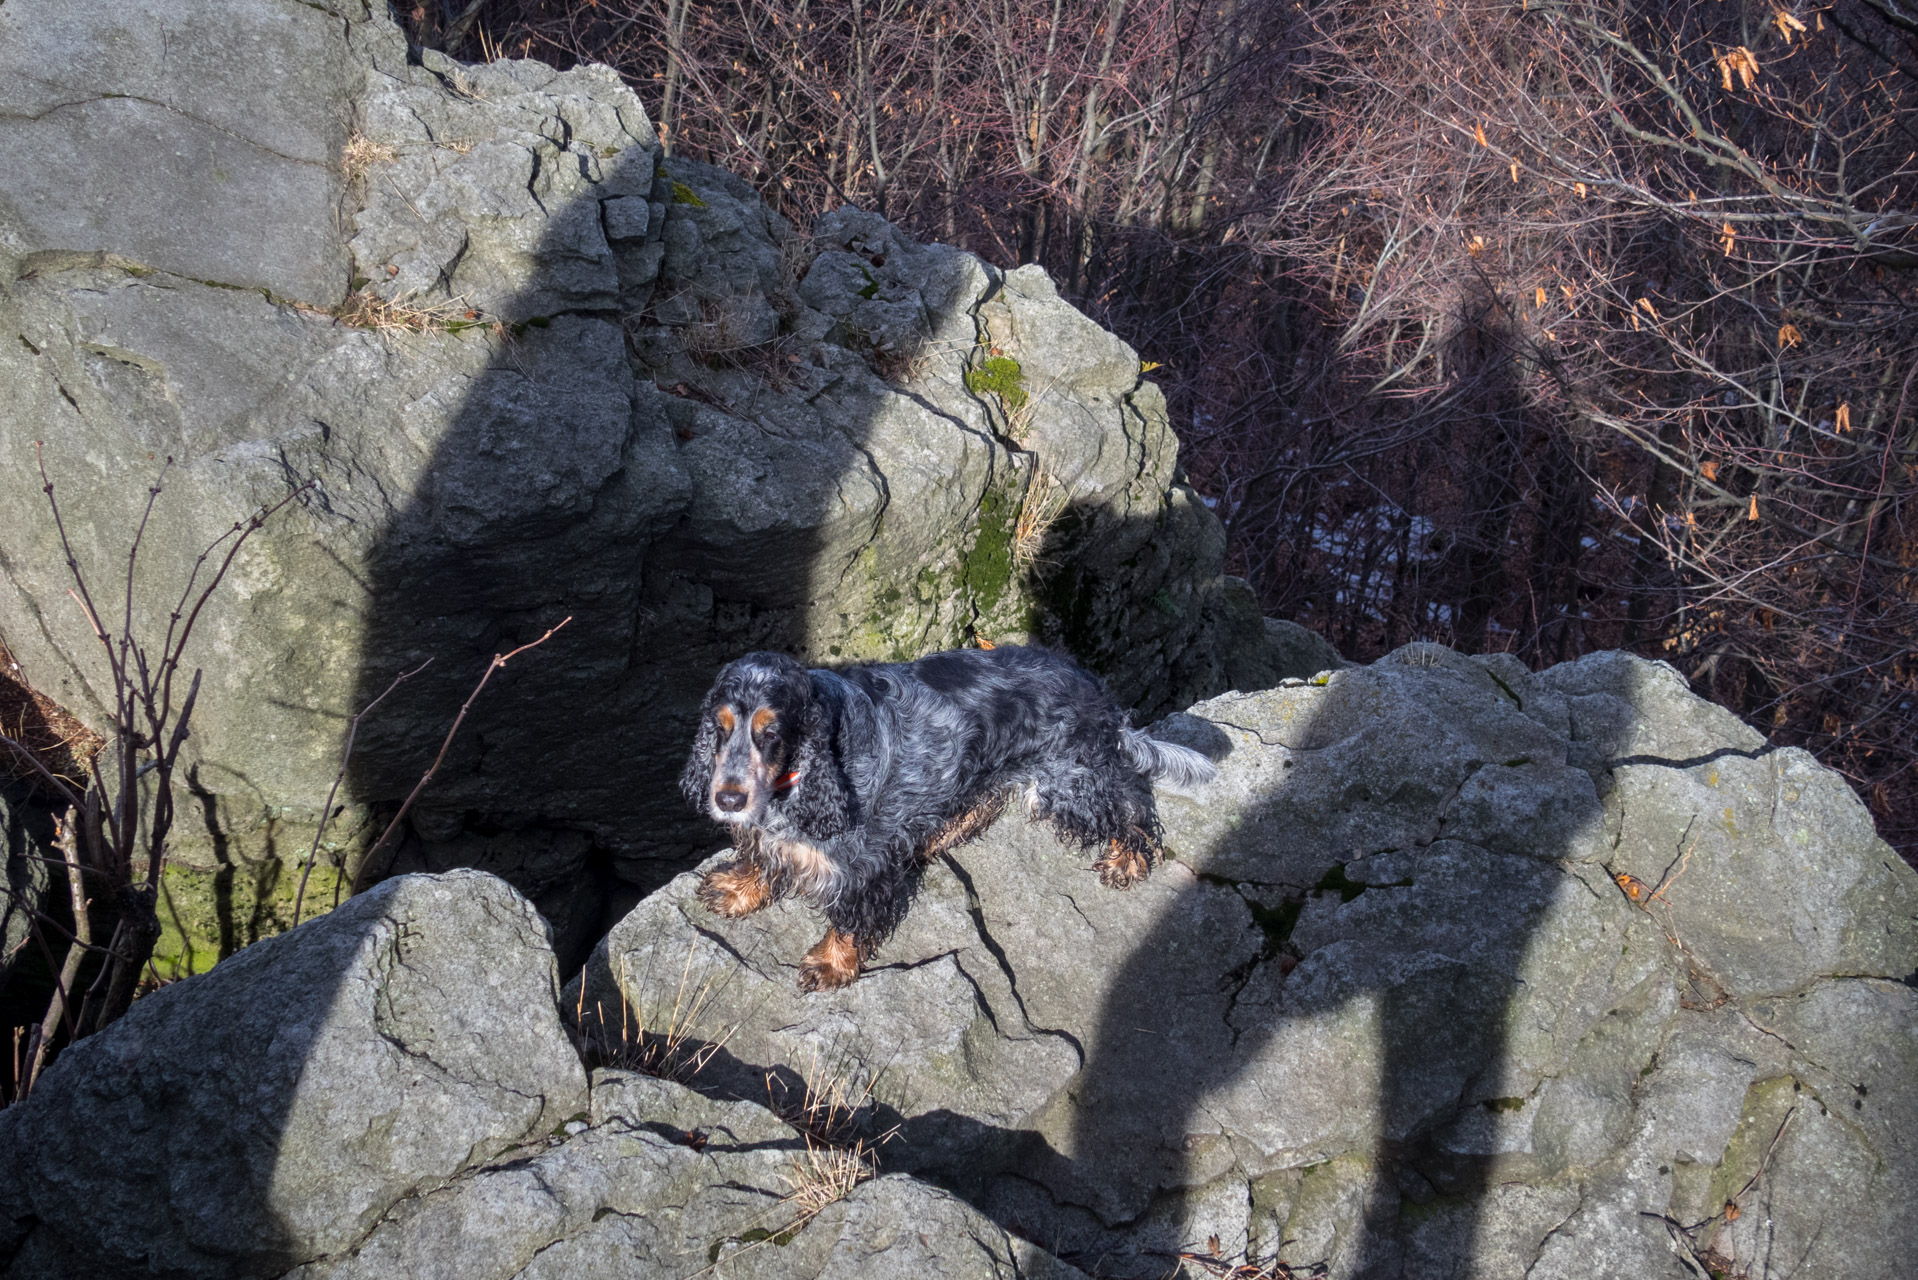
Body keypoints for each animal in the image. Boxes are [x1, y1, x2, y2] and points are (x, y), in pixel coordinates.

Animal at [678, 652, 1212, 990]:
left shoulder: (863, 867)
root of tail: (1095, 688)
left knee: (1128, 802)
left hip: (1068, 783)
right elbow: (764, 860)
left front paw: (831, 965)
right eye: (718, 728)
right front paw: (737, 888)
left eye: (771, 733)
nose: (728, 800)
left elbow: (850, 920)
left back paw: (1127, 860)